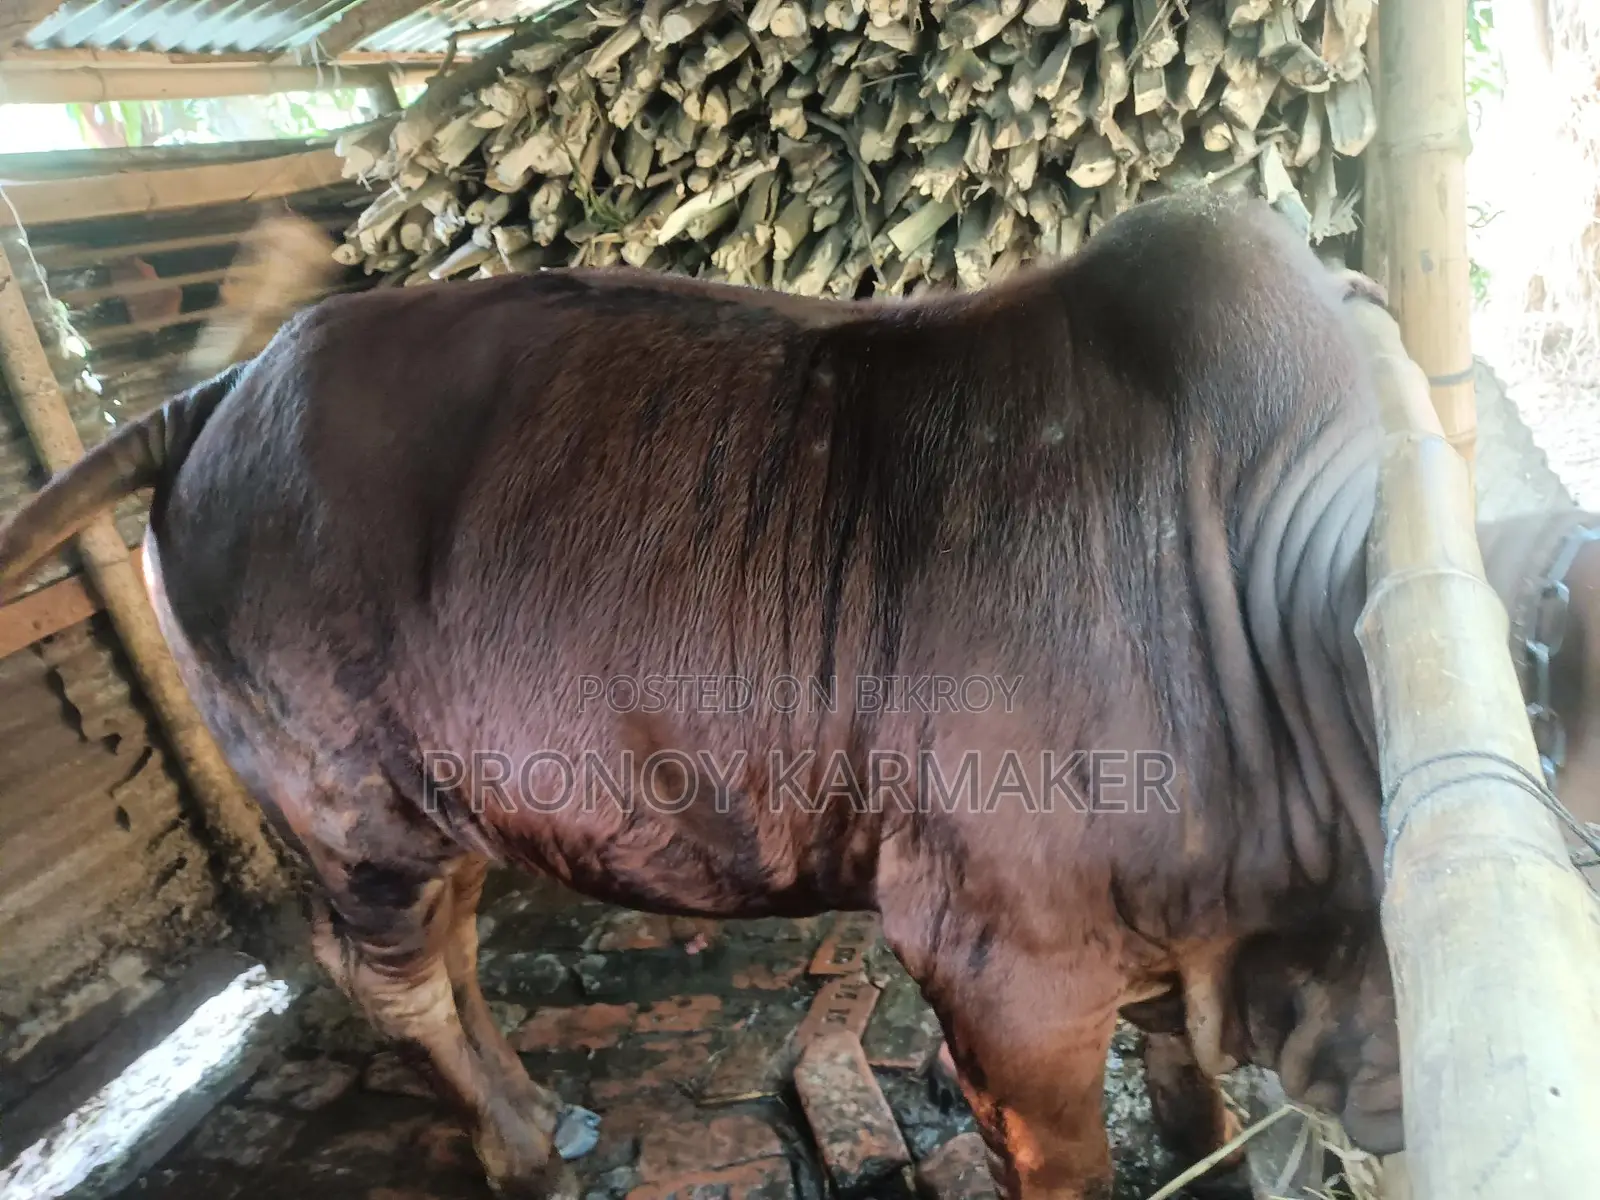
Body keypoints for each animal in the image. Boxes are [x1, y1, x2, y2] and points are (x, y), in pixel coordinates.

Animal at [2, 189, 1597, 1200]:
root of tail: (216, 394)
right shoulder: (999, 962)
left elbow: (1195, 1105)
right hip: (346, 804)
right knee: (385, 977)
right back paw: (521, 1142)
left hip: (440, 803)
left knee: (445, 952)